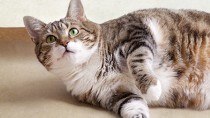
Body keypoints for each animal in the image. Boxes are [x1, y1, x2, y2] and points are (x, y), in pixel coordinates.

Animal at [22, 0, 210, 118]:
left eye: (73, 31)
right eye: (51, 39)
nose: (64, 42)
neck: (88, 67)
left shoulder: (135, 31)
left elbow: (137, 59)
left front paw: (151, 87)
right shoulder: (115, 94)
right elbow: (132, 105)